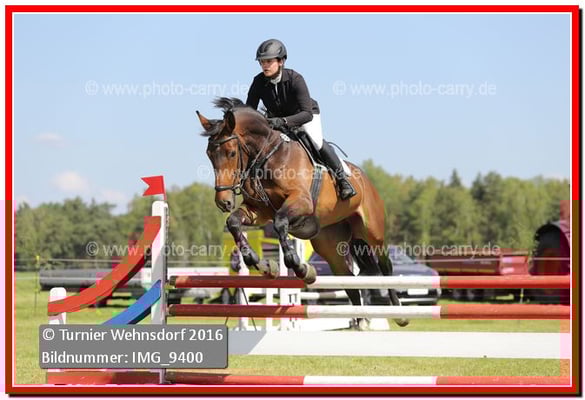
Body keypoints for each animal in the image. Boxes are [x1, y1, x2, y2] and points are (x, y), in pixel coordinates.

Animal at [197, 97, 408, 328]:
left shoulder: (301, 202)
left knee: (385, 266)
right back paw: (361, 321)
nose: (223, 202)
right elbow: (234, 223)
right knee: (349, 280)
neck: (268, 157)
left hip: (372, 232)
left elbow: (280, 222)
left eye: (232, 153)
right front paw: (262, 264)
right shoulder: (259, 210)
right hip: (331, 246)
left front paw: (298, 266)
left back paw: (399, 314)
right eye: (209, 155)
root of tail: (366, 180)